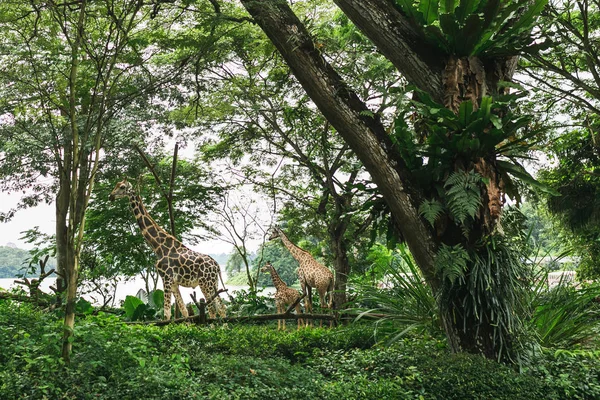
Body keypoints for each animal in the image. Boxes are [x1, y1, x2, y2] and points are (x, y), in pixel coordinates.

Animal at [110, 177, 227, 320]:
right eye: (116, 185)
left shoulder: (166, 277)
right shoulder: (174, 282)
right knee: (221, 308)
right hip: (214, 283)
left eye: (122, 187)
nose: (111, 196)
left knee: (213, 310)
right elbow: (184, 312)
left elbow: (166, 314)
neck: (158, 247)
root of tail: (217, 265)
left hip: (205, 282)